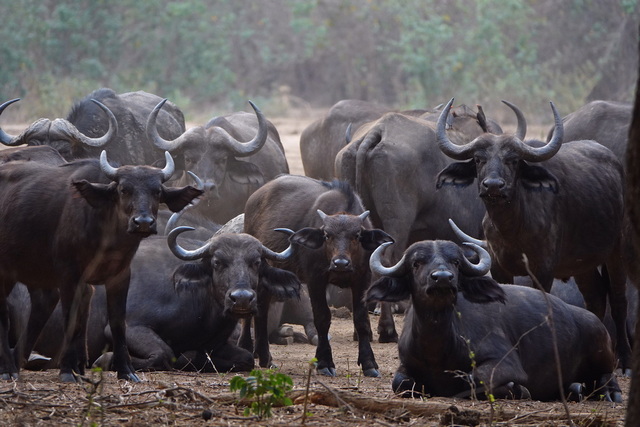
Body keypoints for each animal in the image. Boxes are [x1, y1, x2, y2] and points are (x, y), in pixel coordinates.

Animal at [0, 151, 202, 382]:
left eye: (157, 191)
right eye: (124, 189)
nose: (143, 222)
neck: (106, 236)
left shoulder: (120, 276)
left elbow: (117, 322)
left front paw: (126, 370)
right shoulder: (69, 275)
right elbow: (72, 320)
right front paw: (67, 370)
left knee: (43, 302)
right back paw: (7, 368)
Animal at [244, 175, 393, 377]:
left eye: (357, 235)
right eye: (327, 235)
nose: (340, 263)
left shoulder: (362, 279)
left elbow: (362, 321)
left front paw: (369, 364)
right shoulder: (316, 280)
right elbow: (322, 318)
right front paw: (324, 363)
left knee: (262, 305)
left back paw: (265, 357)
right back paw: (246, 350)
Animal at [366, 238, 622, 402]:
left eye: (455, 262)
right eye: (416, 263)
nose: (443, 278)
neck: (437, 347)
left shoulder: (506, 362)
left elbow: (473, 379)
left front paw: (518, 390)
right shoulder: (406, 365)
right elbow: (400, 383)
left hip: (601, 348)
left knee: (607, 374)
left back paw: (611, 393)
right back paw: (575, 389)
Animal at [436, 98, 631, 373]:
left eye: (513, 160)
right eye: (478, 159)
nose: (493, 186)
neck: (513, 227)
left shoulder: (544, 268)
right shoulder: (499, 267)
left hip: (617, 249)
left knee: (618, 299)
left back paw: (624, 359)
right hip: (582, 263)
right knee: (595, 297)